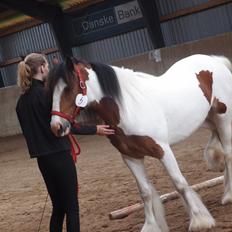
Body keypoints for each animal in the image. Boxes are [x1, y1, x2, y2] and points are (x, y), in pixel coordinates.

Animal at [47, 54, 232, 232]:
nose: (56, 127)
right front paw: (150, 226)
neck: (128, 108)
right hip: (210, 120)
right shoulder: (131, 157)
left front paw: (200, 220)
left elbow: (179, 183)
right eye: (51, 90)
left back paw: (228, 195)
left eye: (68, 88)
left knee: (228, 155)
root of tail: (215, 61)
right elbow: (145, 192)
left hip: (223, 118)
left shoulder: (163, 150)